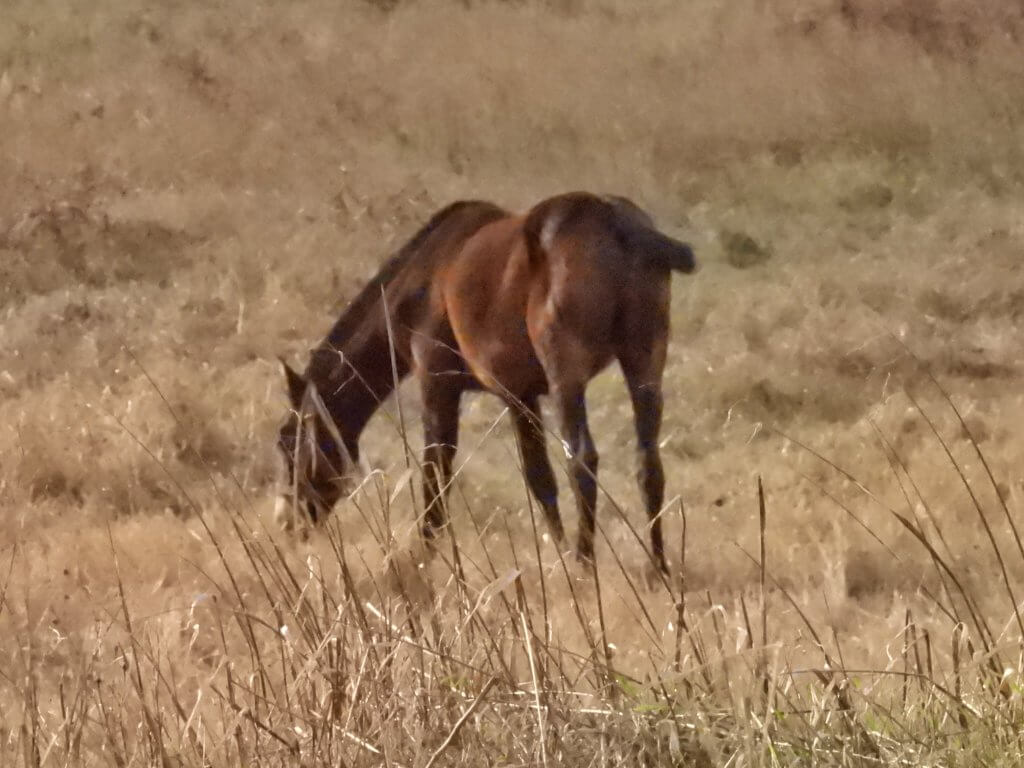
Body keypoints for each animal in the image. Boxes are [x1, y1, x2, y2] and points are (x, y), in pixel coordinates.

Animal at [276, 191, 696, 573]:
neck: (423, 277)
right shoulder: (521, 395)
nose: (289, 524)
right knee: (647, 462)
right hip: (644, 362)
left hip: (568, 375)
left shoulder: (438, 384)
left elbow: (436, 469)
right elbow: (540, 479)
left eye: (288, 443)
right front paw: (556, 552)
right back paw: (658, 566)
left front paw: (425, 553)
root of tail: (617, 222)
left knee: (582, 459)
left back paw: (585, 562)